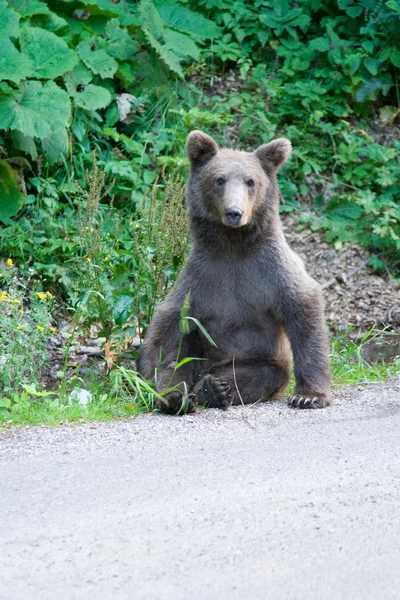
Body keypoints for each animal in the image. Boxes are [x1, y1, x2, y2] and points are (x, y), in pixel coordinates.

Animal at [138, 129, 332, 414]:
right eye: (219, 179)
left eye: (251, 181)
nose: (234, 212)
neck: (234, 246)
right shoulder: (203, 276)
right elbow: (166, 328)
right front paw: (148, 379)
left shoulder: (270, 269)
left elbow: (303, 311)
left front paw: (309, 396)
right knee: (179, 360)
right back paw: (177, 398)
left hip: (256, 360)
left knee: (259, 375)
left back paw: (213, 388)